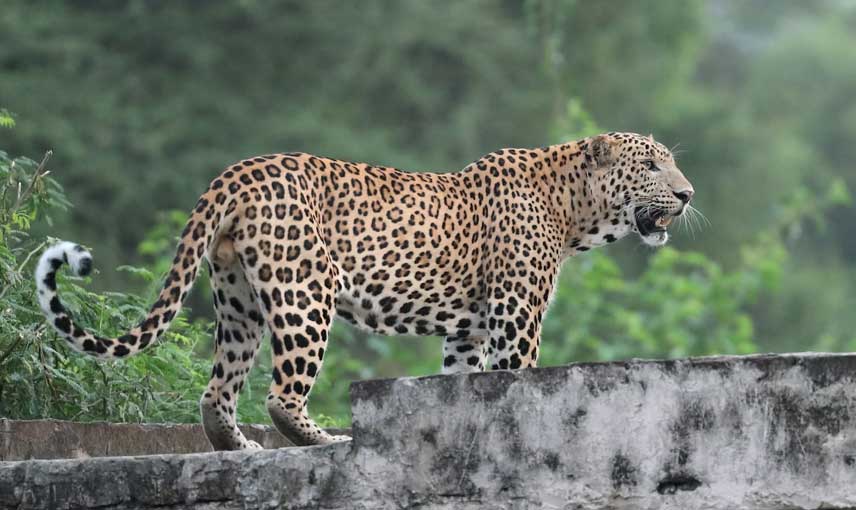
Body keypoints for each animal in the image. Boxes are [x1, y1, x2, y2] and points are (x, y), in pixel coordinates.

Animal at [36, 132, 696, 450]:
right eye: (652, 167)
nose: (687, 194)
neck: (575, 208)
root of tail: (237, 171)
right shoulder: (516, 317)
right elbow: (522, 377)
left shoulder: (469, 332)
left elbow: (461, 386)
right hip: (306, 291)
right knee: (281, 394)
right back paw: (328, 440)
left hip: (239, 300)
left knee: (217, 392)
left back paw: (243, 452)